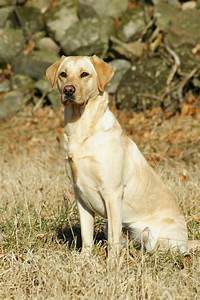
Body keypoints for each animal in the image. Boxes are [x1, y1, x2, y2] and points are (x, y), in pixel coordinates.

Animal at [46, 55, 198, 254]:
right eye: (63, 74)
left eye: (84, 74)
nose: (68, 90)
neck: (82, 128)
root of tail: (186, 241)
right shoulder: (80, 196)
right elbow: (86, 236)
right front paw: (84, 259)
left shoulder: (112, 192)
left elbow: (113, 239)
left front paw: (112, 262)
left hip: (151, 235)